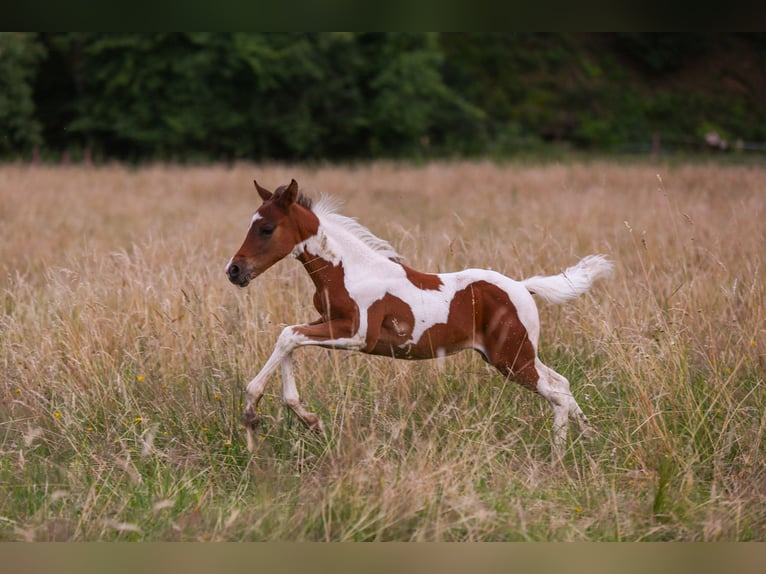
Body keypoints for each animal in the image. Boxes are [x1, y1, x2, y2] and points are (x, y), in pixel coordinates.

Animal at [225, 180, 616, 460]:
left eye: (267, 228)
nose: (234, 270)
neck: (349, 270)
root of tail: (522, 287)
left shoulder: (358, 335)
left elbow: (288, 335)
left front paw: (255, 412)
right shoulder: (326, 321)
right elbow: (289, 340)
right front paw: (306, 419)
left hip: (512, 359)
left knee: (556, 394)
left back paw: (559, 456)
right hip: (518, 353)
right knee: (562, 383)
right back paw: (590, 439)